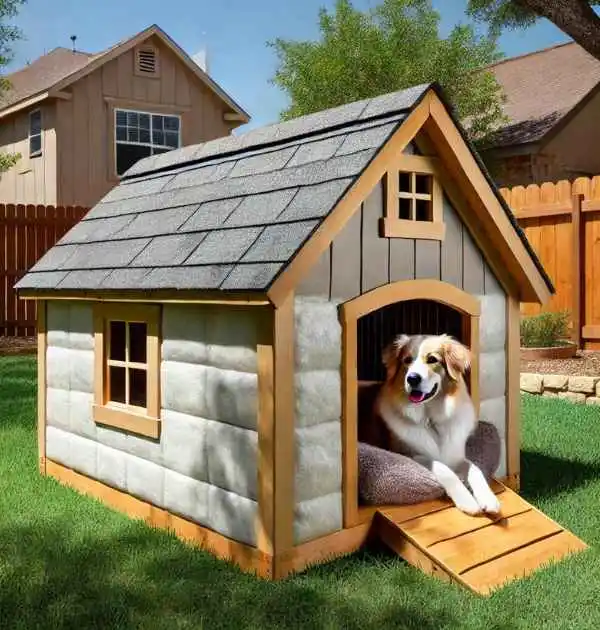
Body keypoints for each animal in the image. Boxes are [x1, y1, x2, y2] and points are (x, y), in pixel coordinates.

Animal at [360, 334, 502, 516]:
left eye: (432, 359)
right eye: (407, 360)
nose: (412, 378)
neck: (431, 419)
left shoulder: (455, 456)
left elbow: (475, 468)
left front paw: (488, 498)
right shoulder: (410, 454)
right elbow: (443, 468)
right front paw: (467, 500)